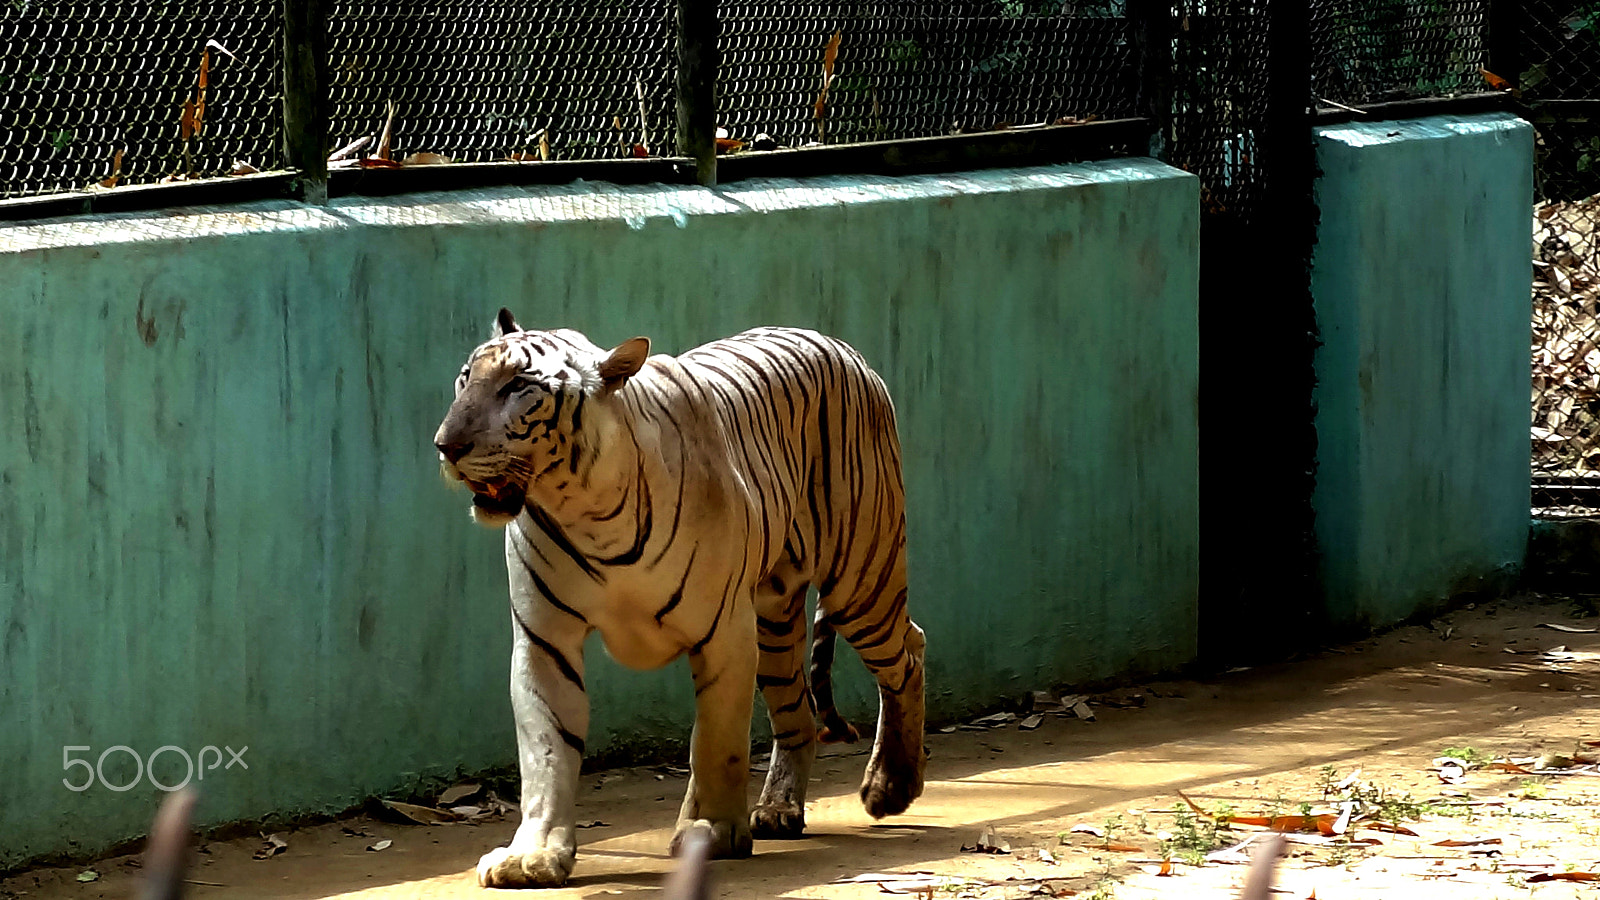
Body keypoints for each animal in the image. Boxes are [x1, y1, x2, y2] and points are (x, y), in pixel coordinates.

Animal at [432, 309, 927, 888]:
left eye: (518, 387)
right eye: (467, 379)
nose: (446, 445)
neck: (586, 508)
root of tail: (837, 343)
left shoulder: (724, 633)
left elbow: (715, 741)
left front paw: (710, 831)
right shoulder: (545, 639)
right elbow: (546, 750)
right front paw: (532, 855)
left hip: (860, 580)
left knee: (908, 653)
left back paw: (891, 785)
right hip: (775, 618)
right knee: (799, 713)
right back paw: (779, 810)